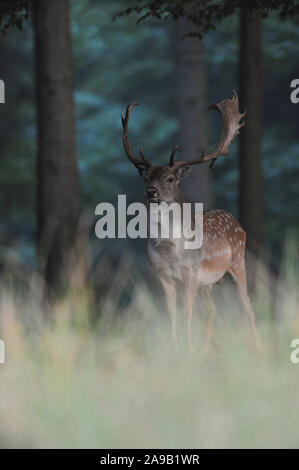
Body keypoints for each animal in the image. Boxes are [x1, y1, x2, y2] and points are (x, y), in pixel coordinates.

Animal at [122, 92, 260, 352]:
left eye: (170, 178)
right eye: (146, 177)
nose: (151, 191)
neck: (169, 251)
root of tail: (237, 222)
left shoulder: (191, 271)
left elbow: (187, 312)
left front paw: (189, 350)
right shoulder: (162, 274)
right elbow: (171, 313)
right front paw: (176, 350)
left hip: (238, 260)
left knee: (247, 302)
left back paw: (257, 348)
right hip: (208, 282)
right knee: (213, 308)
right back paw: (207, 349)